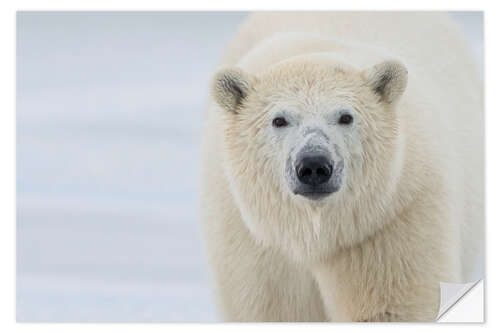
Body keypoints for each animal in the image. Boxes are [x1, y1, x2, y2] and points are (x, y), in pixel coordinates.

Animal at [200, 11, 484, 320]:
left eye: (345, 116)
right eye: (279, 120)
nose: (314, 166)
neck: (314, 236)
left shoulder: (388, 221)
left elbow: (392, 307)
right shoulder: (255, 244)